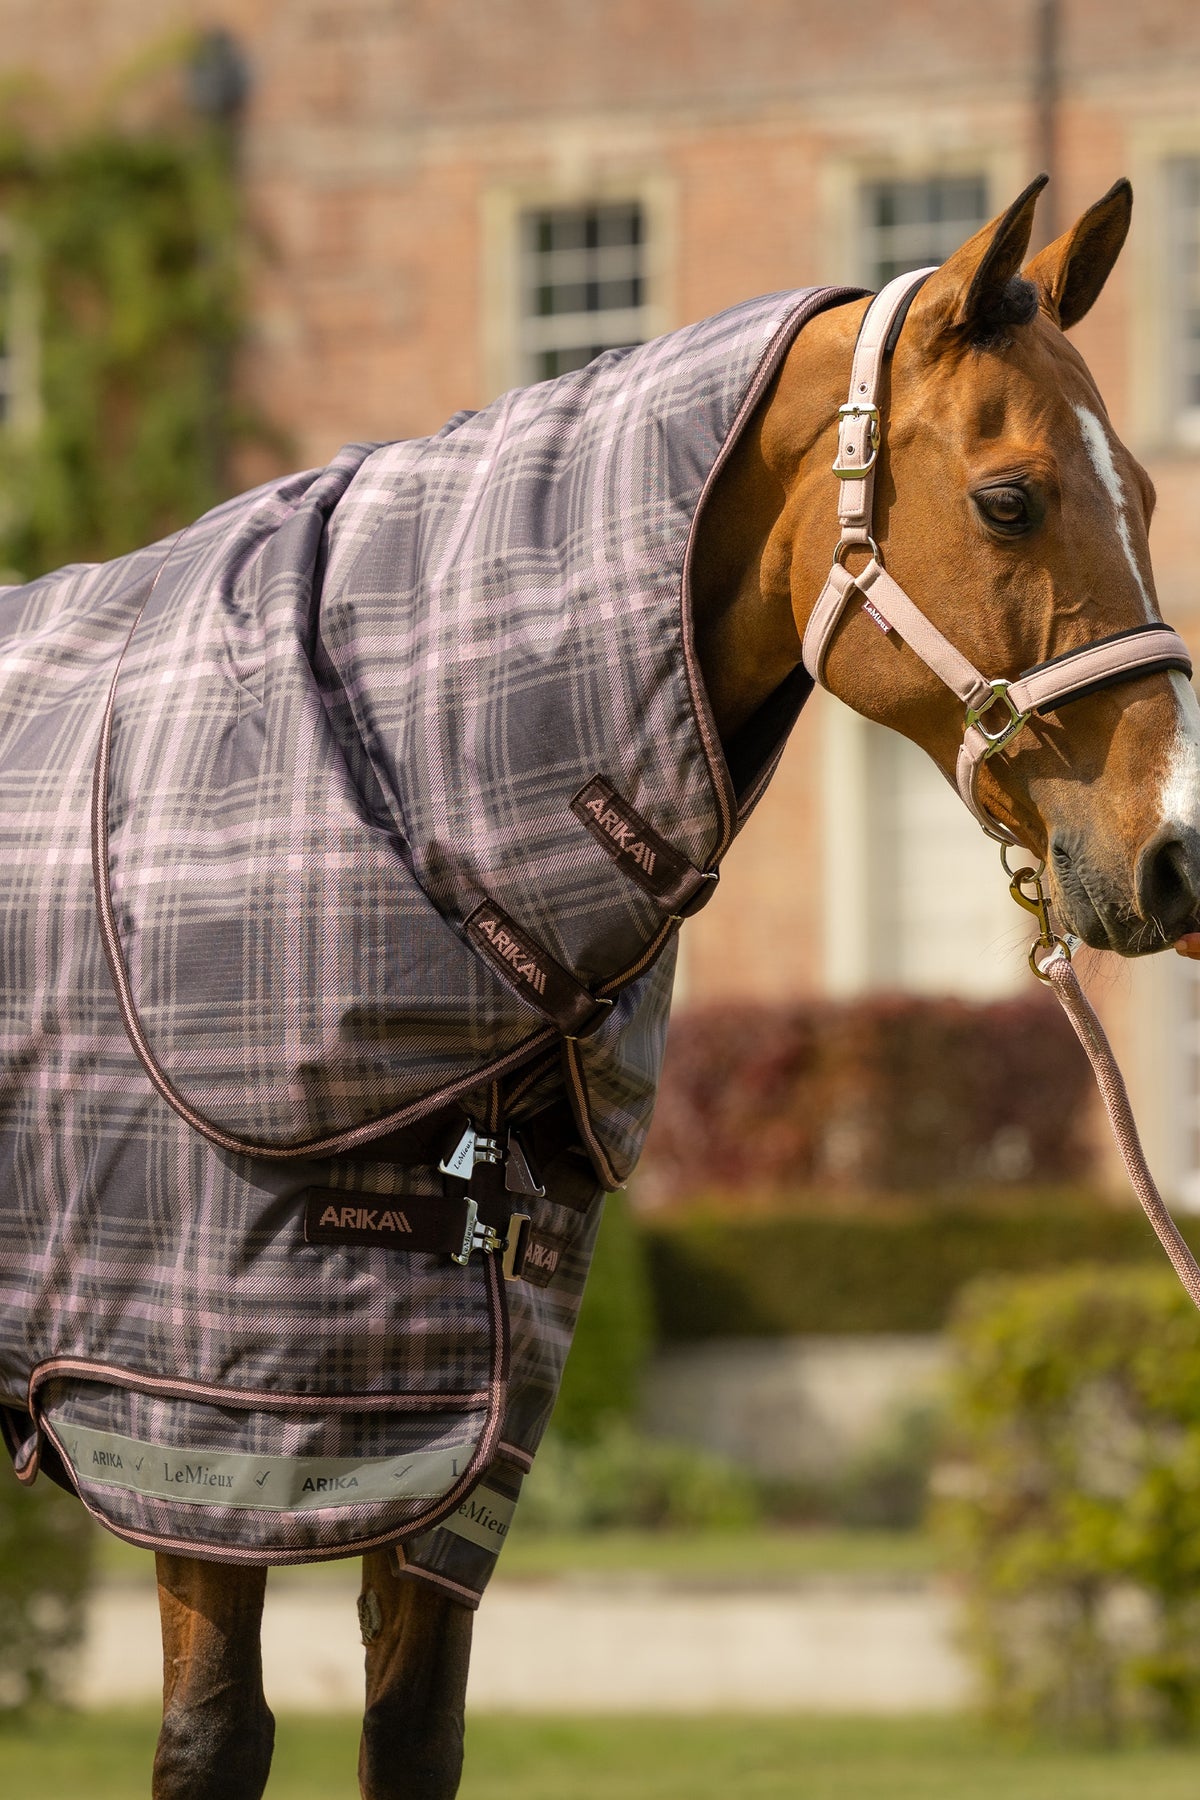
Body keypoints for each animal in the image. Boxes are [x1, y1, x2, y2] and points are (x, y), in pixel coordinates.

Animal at [5, 173, 1200, 1799]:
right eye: (1009, 498)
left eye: (1141, 490)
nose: (1179, 854)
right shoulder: (189, 1410)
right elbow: (212, 1737)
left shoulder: (457, 1419)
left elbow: (414, 1731)